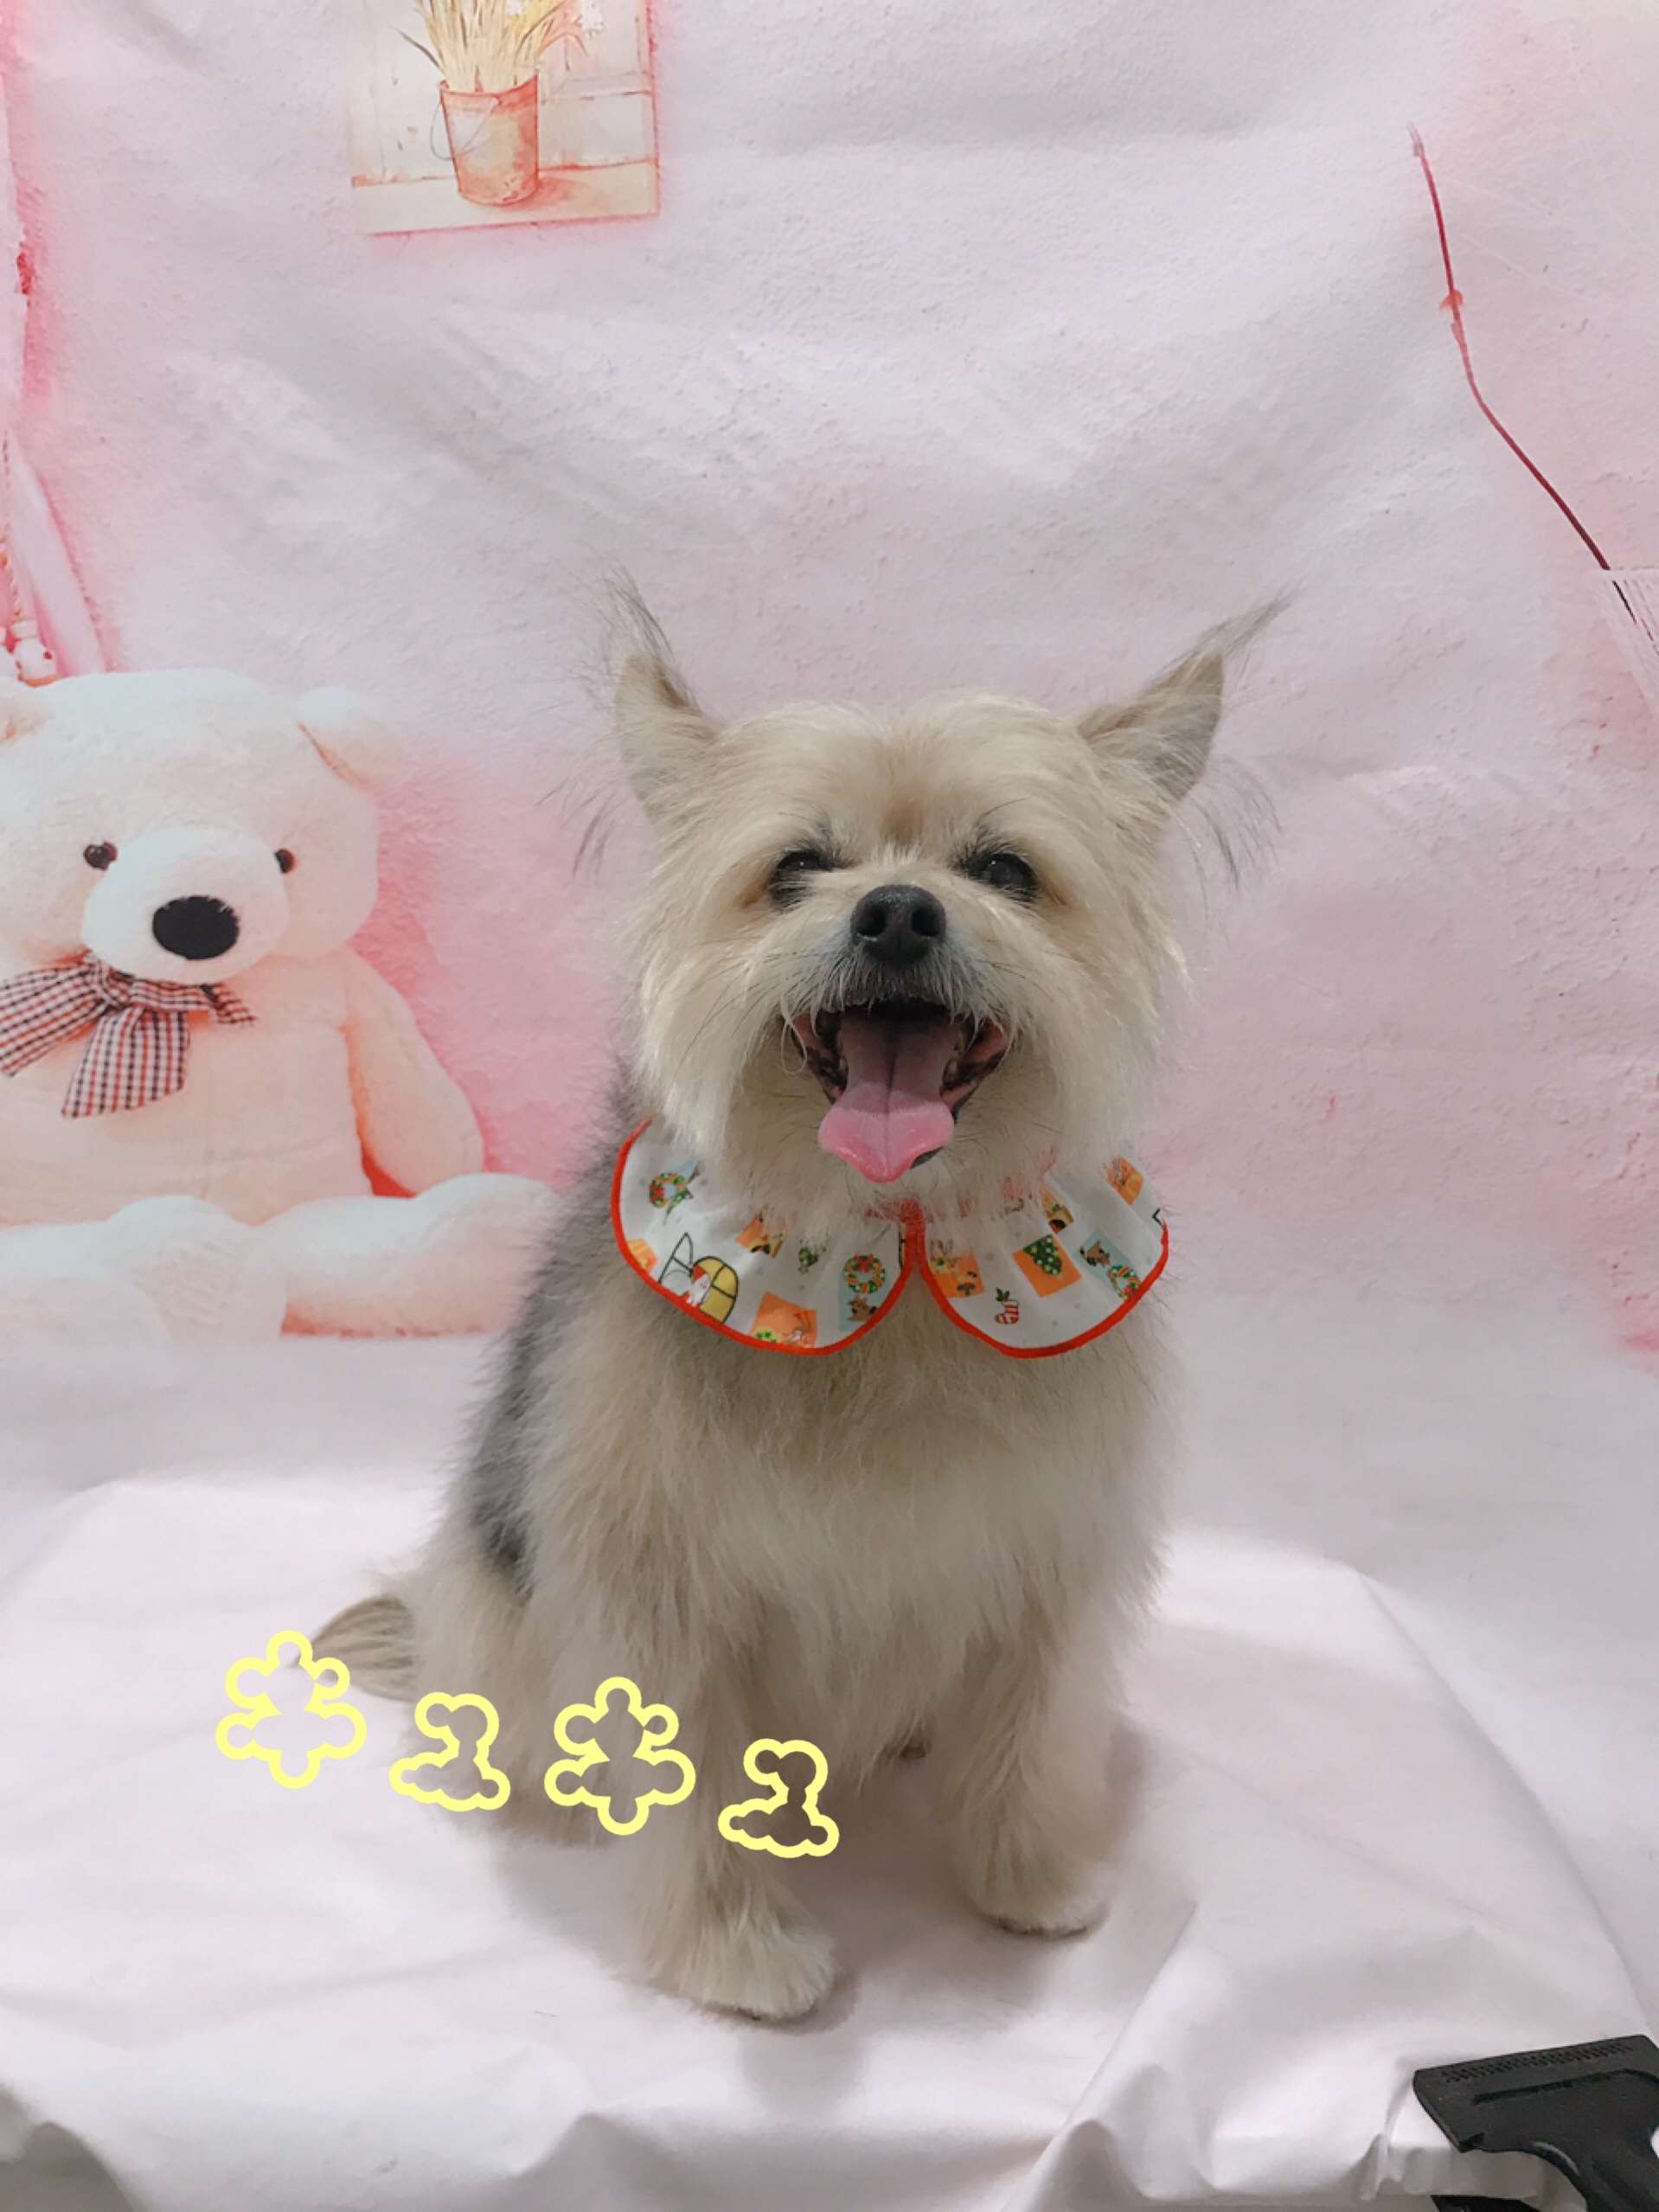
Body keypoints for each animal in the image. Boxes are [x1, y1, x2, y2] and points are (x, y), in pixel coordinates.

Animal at [321, 618, 1248, 2020]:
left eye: (1003, 869)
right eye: (797, 868)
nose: (898, 908)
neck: (889, 1245)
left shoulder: (1050, 1552)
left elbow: (1027, 1730)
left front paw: (1029, 1882)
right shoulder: (657, 1584)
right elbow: (689, 1771)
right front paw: (735, 1953)